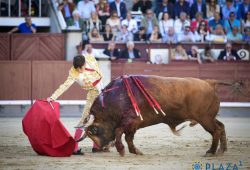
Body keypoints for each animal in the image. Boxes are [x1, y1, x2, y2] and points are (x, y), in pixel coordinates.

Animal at [85, 75, 232, 157]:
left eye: (95, 133)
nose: (99, 148)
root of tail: (209, 83)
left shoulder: (130, 121)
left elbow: (118, 132)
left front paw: (121, 150)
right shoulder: (133, 125)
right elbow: (128, 138)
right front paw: (136, 151)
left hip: (204, 119)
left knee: (216, 130)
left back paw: (211, 152)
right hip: (209, 117)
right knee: (221, 126)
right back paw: (222, 150)